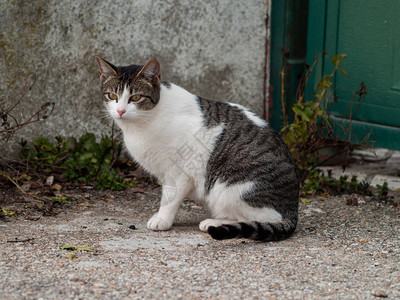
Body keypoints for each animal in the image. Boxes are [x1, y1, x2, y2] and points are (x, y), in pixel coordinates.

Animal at [95, 56, 298, 241]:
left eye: (135, 97)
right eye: (112, 96)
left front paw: (162, 219)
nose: (120, 111)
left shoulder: (180, 172)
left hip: (229, 188)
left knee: (264, 218)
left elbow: (170, 198)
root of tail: (293, 209)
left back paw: (215, 222)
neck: (145, 121)